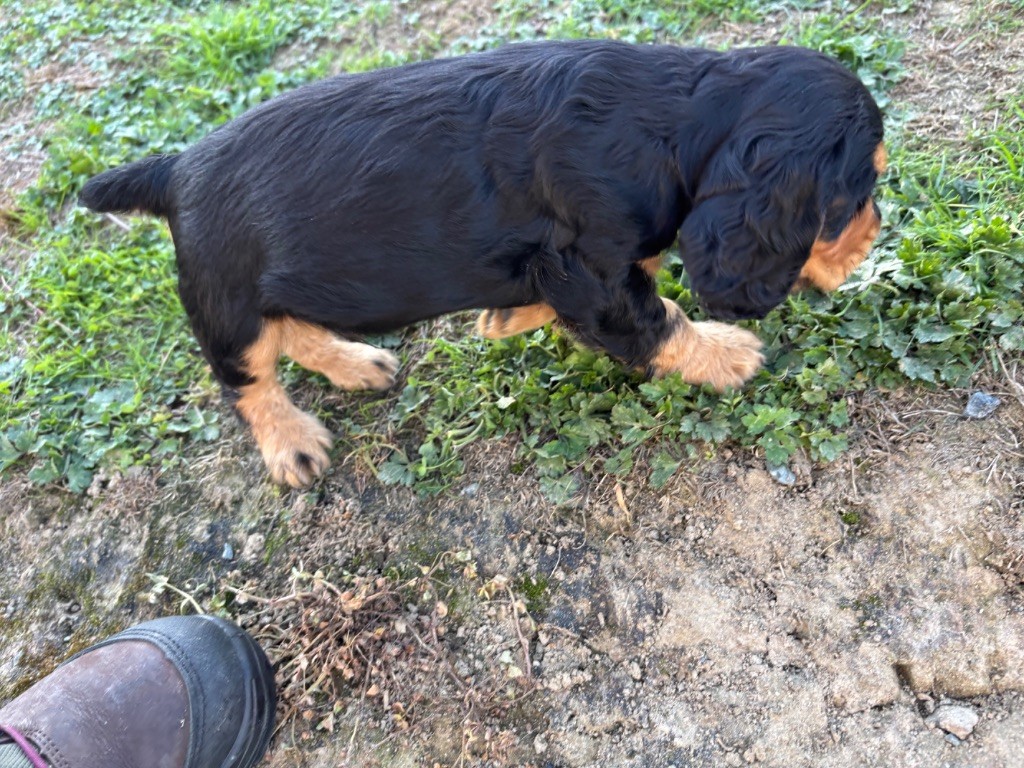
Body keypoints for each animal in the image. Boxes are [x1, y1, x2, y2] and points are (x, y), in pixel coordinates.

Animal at [80, 40, 886, 488]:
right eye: (859, 193)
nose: (876, 235)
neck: (675, 122)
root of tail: (175, 168)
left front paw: (504, 315)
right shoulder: (590, 266)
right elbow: (656, 318)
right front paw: (727, 354)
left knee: (296, 329)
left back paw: (356, 364)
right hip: (225, 300)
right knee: (247, 378)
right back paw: (293, 445)